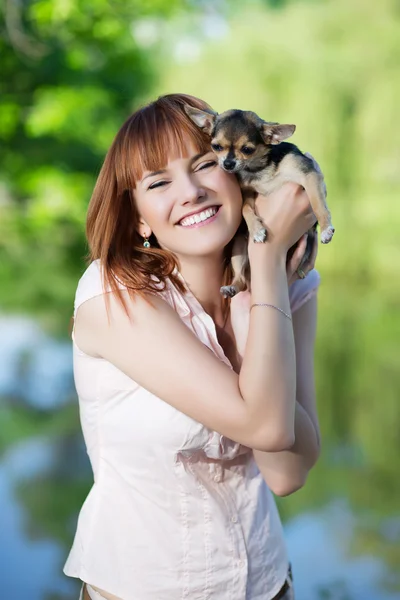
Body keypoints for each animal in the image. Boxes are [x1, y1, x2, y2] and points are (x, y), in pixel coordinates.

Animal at [184, 106, 334, 298]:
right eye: (216, 146)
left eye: (247, 149)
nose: (228, 163)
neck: (258, 169)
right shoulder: (248, 193)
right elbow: (244, 209)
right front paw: (257, 229)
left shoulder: (308, 175)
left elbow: (317, 203)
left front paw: (326, 228)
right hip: (239, 248)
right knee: (241, 280)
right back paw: (231, 287)